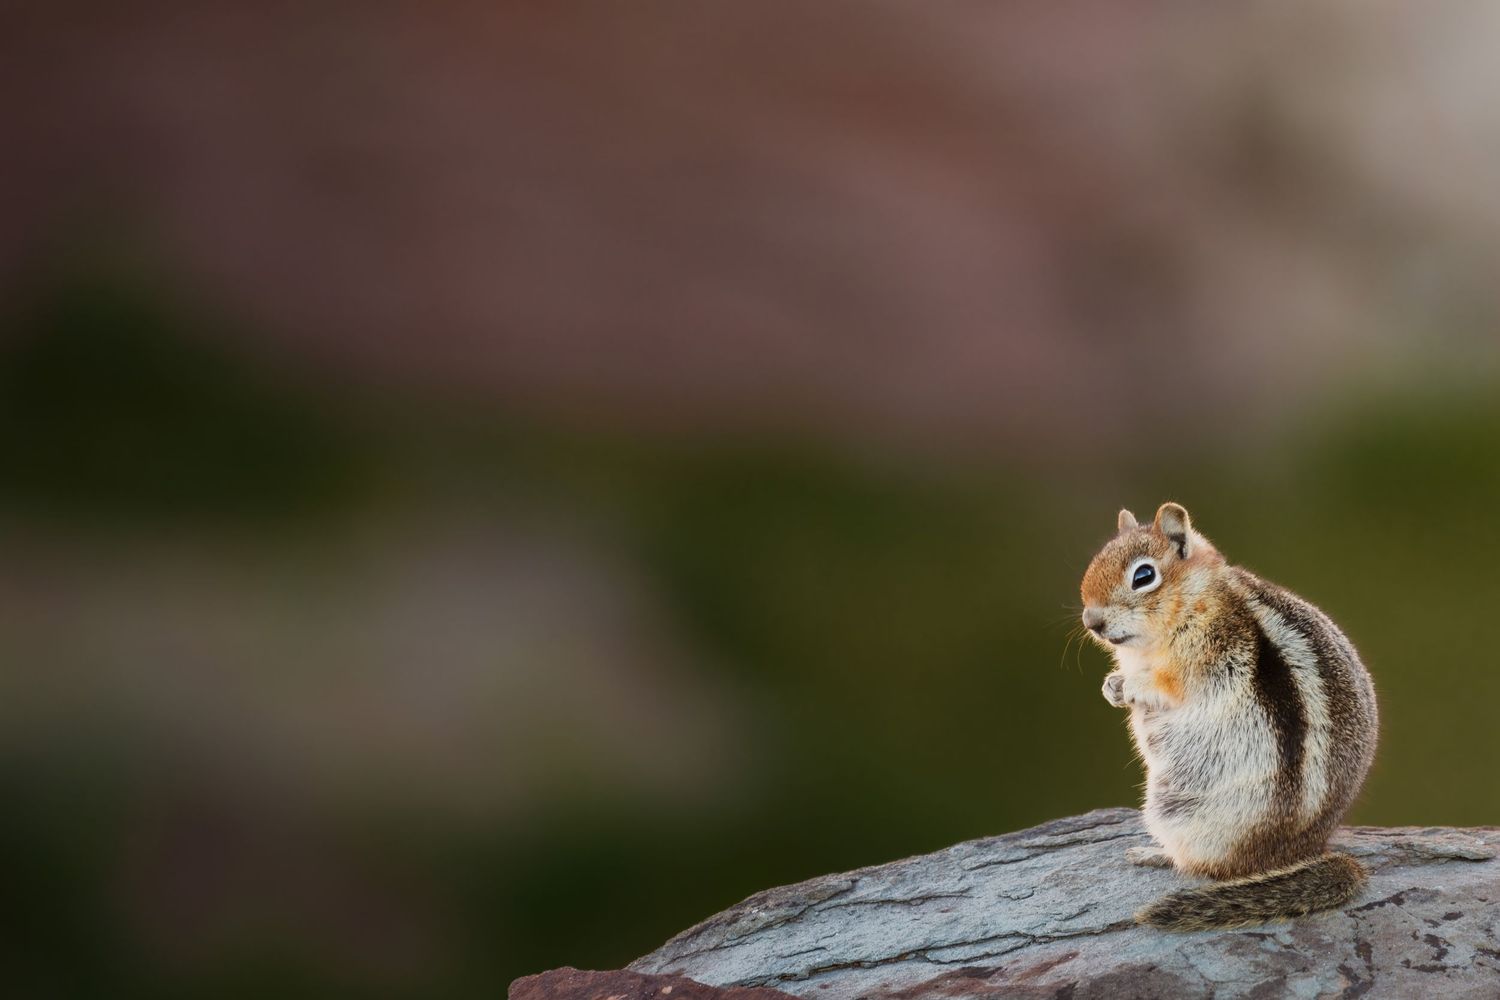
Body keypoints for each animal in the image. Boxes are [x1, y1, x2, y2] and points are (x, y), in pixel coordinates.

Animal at [1080, 502, 1378, 930]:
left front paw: (1128, 685)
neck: (1195, 599)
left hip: (1178, 813)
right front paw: (1111, 686)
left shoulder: (1206, 652)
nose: (1092, 621)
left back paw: (1158, 855)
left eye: (1143, 576)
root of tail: (1300, 854)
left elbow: (1169, 685)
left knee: (1209, 868)